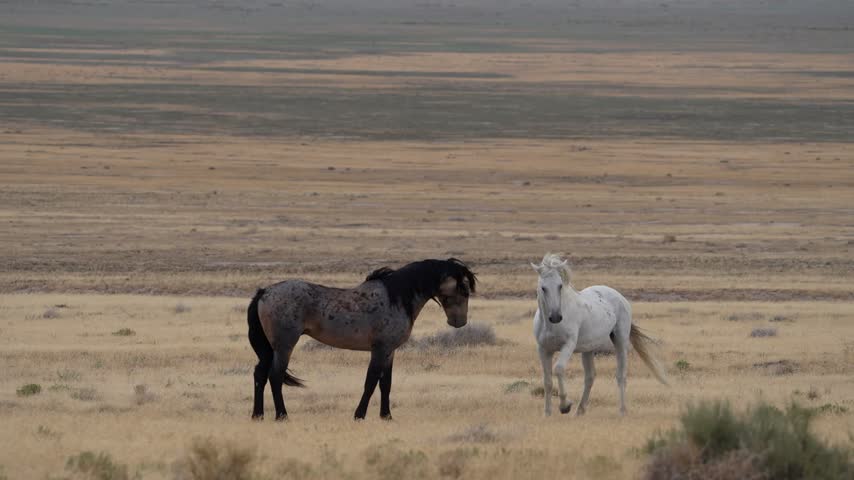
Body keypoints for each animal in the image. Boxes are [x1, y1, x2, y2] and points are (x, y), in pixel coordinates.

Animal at [247, 258, 477, 421]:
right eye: (463, 290)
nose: (459, 322)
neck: (396, 298)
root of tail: (264, 292)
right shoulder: (380, 349)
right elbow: (371, 381)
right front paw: (359, 415)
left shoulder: (390, 351)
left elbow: (386, 383)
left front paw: (386, 416)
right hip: (284, 345)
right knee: (275, 376)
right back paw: (282, 415)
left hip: (270, 348)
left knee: (260, 374)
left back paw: (258, 415)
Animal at [531, 253, 667, 417]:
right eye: (543, 288)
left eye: (560, 285)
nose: (556, 317)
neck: (551, 326)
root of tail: (620, 296)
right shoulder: (543, 349)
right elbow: (547, 381)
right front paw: (547, 413)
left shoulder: (568, 345)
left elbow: (558, 368)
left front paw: (565, 406)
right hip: (588, 349)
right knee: (590, 377)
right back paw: (580, 410)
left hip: (620, 341)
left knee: (621, 375)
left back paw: (622, 410)